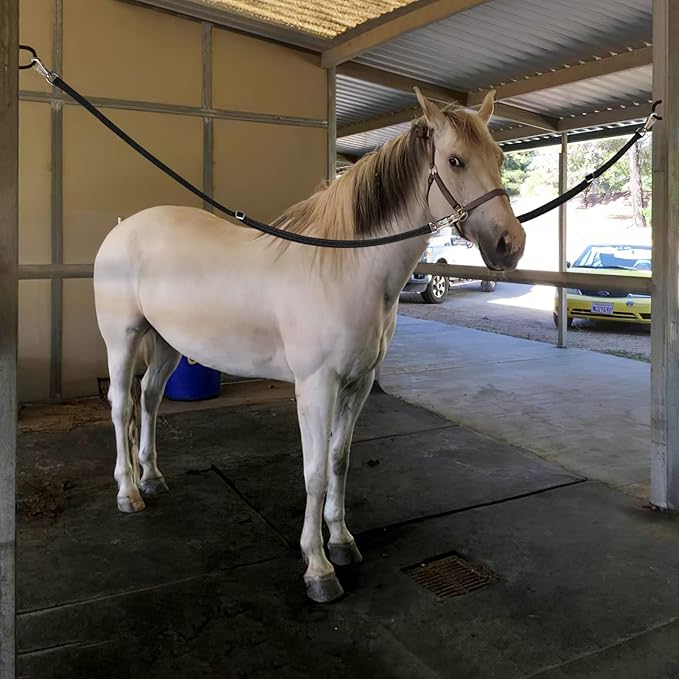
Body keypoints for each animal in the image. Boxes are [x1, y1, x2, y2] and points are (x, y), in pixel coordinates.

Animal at [93, 88, 526, 603]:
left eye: (499, 157)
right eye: (455, 160)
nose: (510, 244)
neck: (346, 269)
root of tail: (122, 228)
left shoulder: (359, 385)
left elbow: (339, 460)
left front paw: (341, 541)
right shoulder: (317, 386)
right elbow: (314, 471)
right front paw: (318, 568)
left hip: (165, 343)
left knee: (150, 398)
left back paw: (153, 478)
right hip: (122, 340)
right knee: (122, 405)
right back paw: (128, 492)